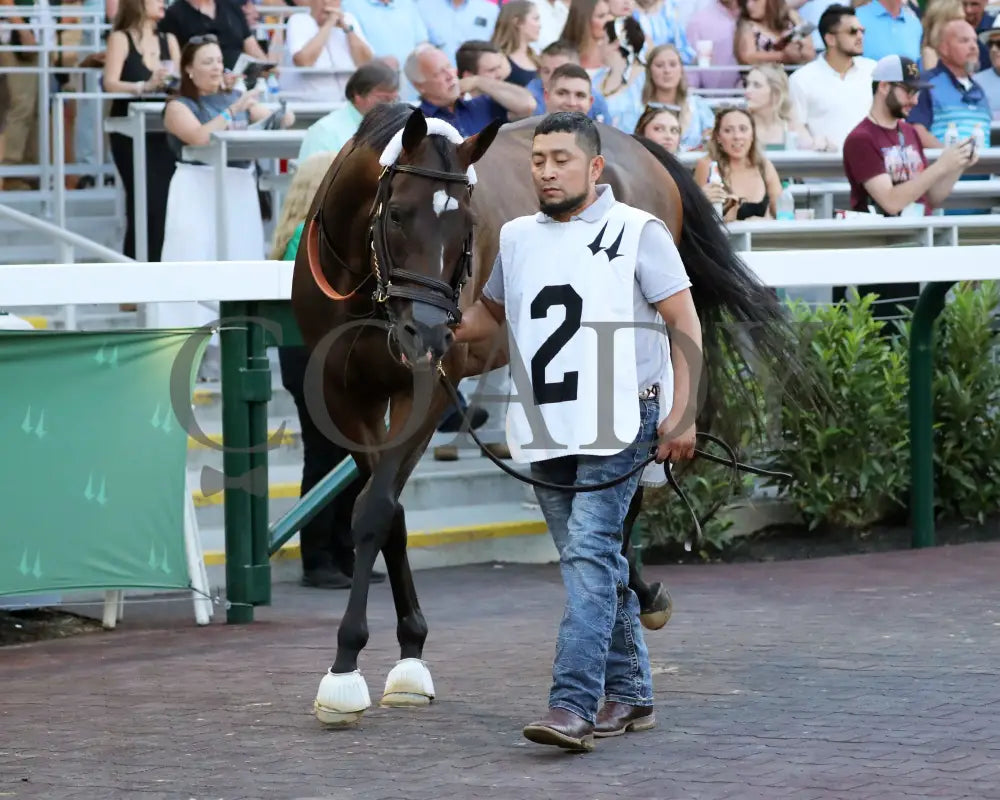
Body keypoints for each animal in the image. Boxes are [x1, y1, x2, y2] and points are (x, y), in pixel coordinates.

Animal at [292, 103, 804, 720]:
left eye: (466, 226)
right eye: (395, 213)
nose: (431, 333)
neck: (365, 288)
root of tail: (639, 146)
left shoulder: (431, 386)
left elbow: (373, 508)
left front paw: (347, 668)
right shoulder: (347, 397)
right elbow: (386, 512)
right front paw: (406, 653)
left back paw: (634, 587)